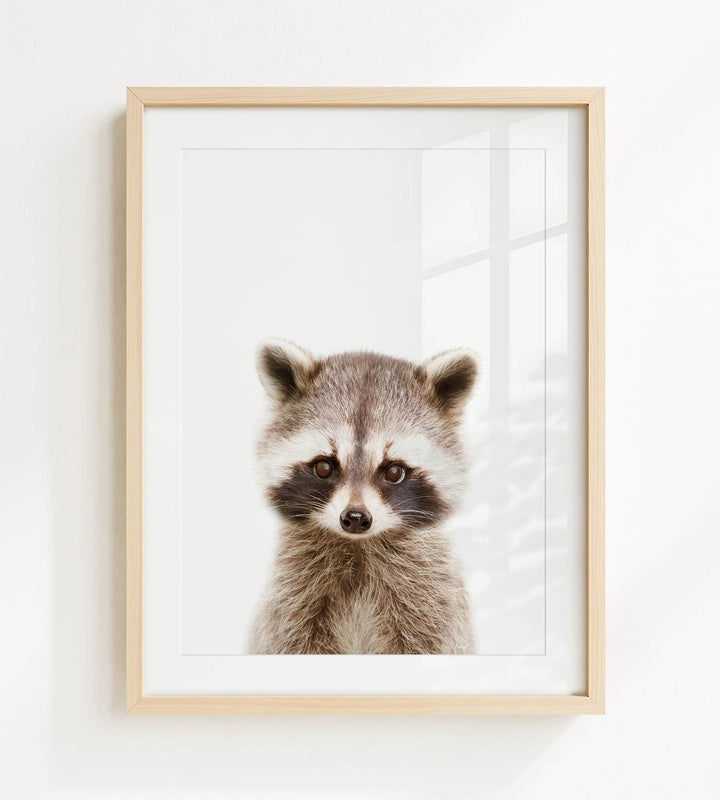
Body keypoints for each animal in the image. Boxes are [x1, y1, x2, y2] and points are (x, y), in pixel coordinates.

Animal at [248, 338, 478, 655]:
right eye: (324, 467)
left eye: (393, 471)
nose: (356, 518)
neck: (358, 546)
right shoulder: (290, 599)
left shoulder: (432, 600)